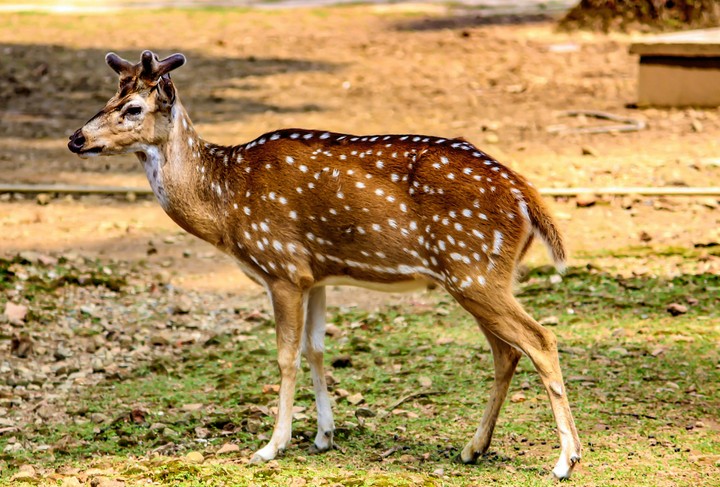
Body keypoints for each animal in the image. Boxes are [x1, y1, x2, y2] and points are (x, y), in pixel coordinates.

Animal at [68, 51, 581, 479]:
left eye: (133, 108)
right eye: (109, 97)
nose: (75, 138)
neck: (225, 205)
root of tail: (525, 194)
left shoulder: (281, 267)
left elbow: (285, 355)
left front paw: (271, 446)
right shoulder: (315, 275)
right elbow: (317, 348)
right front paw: (323, 436)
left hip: (473, 269)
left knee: (541, 340)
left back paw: (565, 460)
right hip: (480, 275)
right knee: (507, 351)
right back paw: (474, 448)